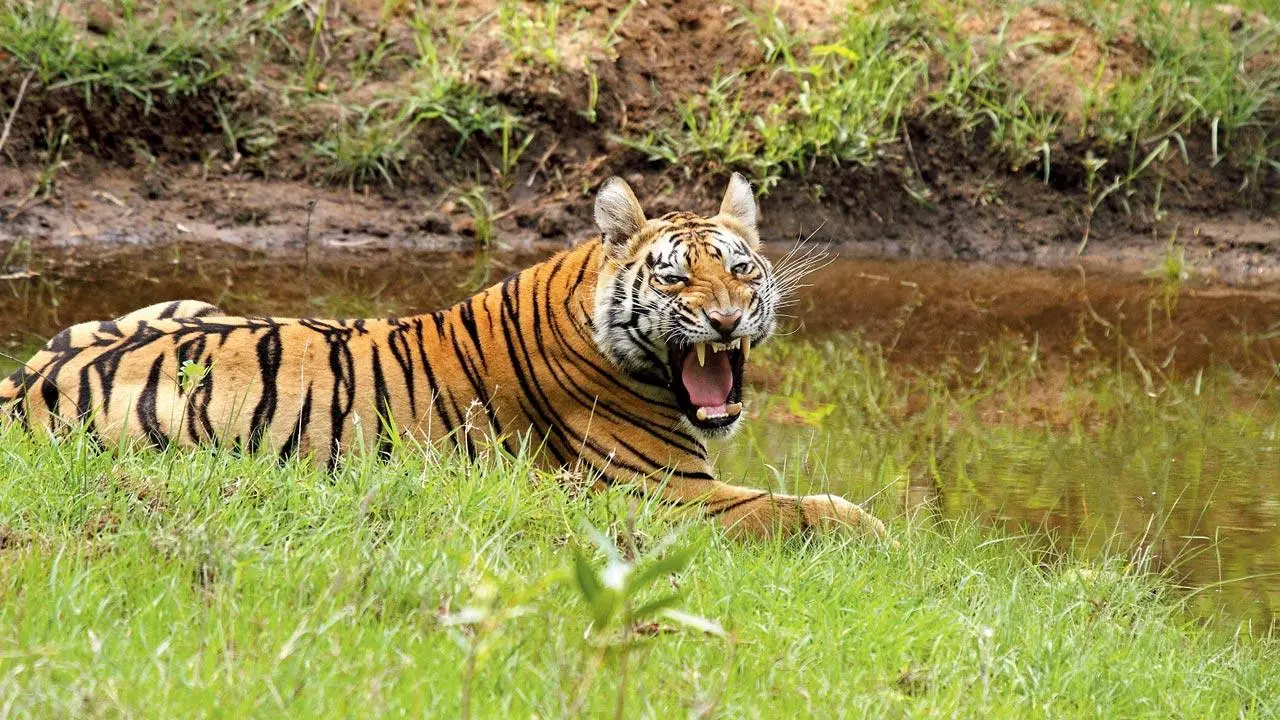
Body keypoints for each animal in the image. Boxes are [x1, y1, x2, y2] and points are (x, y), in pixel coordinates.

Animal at [0, 170, 890, 535]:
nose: (728, 320)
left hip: (181, 304)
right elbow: (805, 509)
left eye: (740, 270)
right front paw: (885, 537)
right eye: (674, 280)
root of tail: (24, 386)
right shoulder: (659, 493)